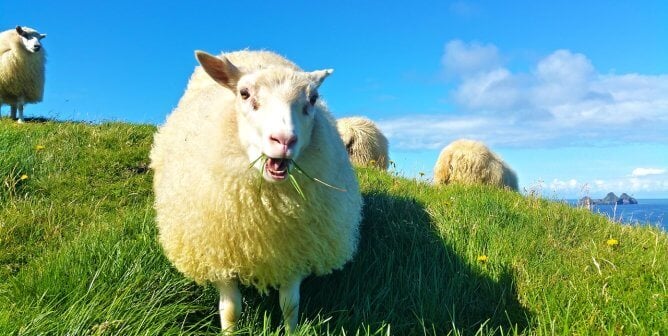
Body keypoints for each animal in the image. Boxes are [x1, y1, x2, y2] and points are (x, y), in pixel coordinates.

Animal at [150, 49, 366, 330]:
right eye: (244, 93)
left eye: (313, 98)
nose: (284, 140)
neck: (266, 211)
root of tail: (252, 50)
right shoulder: (218, 249)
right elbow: (231, 309)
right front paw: (229, 332)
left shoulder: (295, 247)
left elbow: (290, 305)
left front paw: (292, 331)